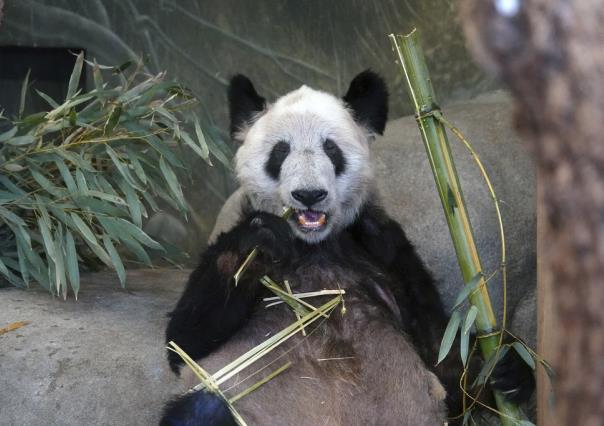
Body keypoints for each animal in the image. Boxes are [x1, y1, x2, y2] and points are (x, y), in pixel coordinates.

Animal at [160, 71, 532, 424]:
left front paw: (509, 364)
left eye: (331, 149)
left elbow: (447, 360)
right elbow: (186, 340)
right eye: (280, 151)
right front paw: (258, 245)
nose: (309, 194)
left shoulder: (384, 249)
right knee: (202, 409)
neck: (312, 246)